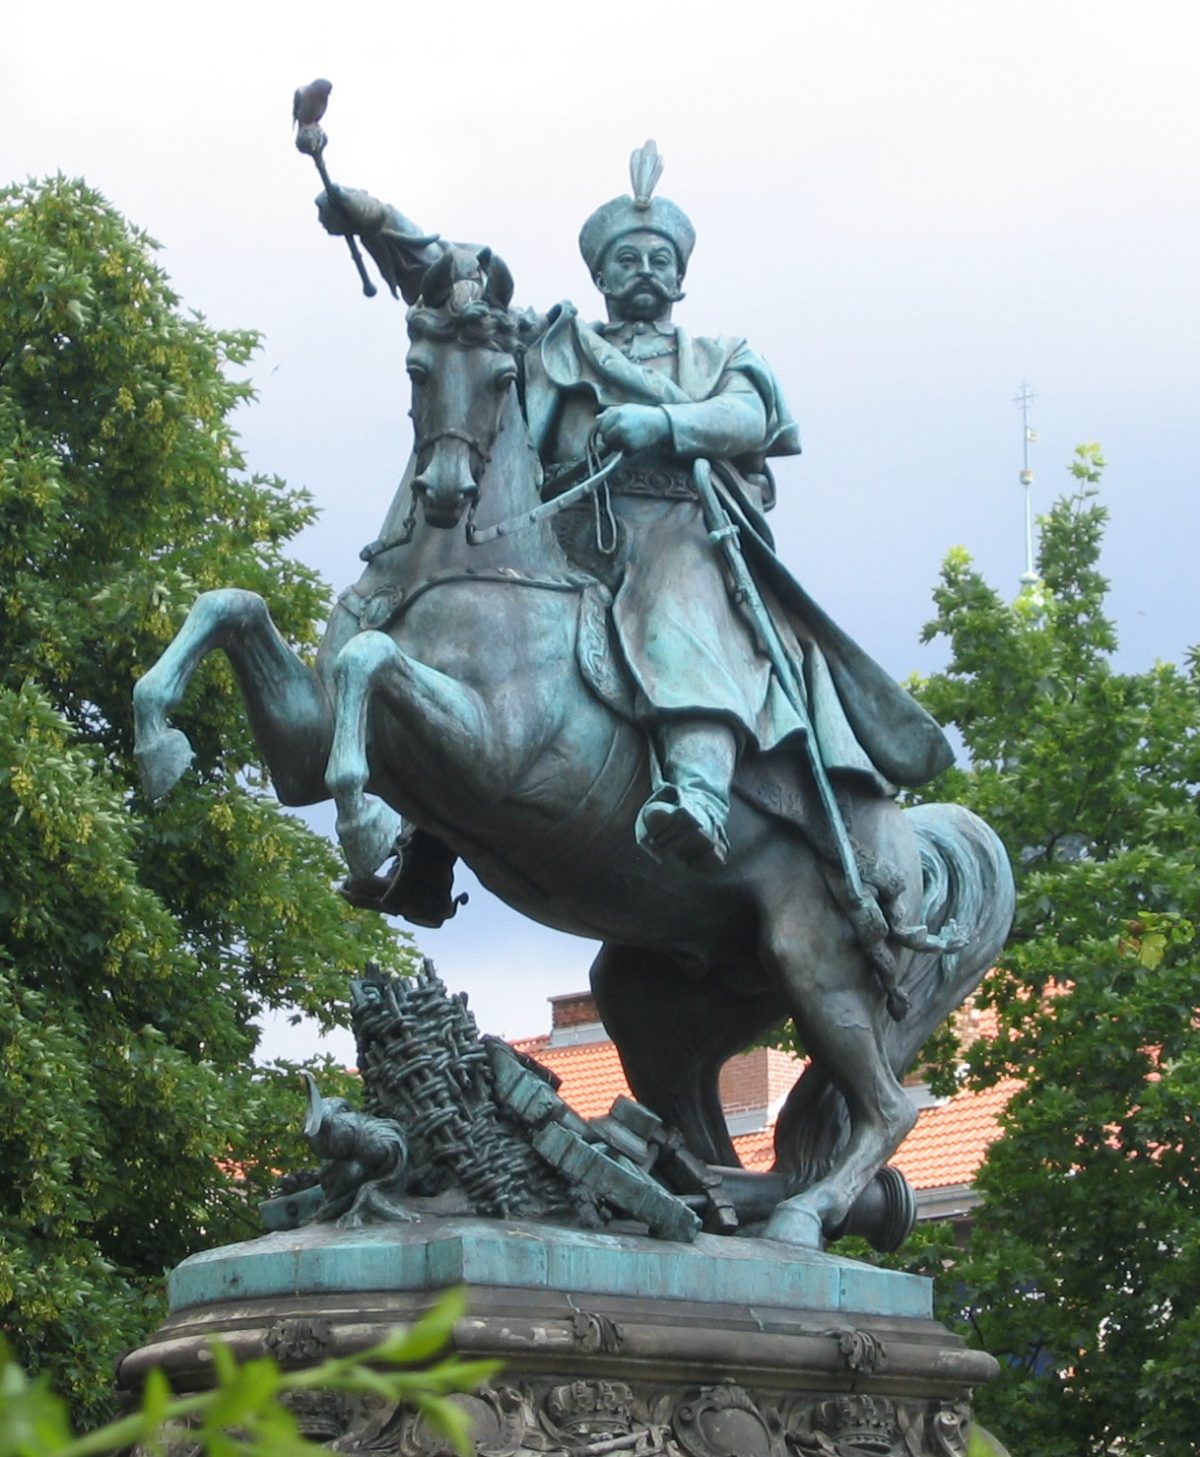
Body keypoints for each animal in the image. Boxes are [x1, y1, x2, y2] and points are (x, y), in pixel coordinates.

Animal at [131, 250, 1013, 1253]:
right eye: (417, 369)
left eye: (502, 376)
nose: (445, 493)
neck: (470, 568)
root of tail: (915, 846)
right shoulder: (300, 749)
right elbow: (230, 605)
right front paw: (157, 741)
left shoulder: (489, 758)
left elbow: (369, 662)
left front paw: (362, 826)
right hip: (661, 999)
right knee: (708, 1129)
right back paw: (704, 1201)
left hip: (815, 961)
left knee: (884, 1108)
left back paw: (797, 1217)